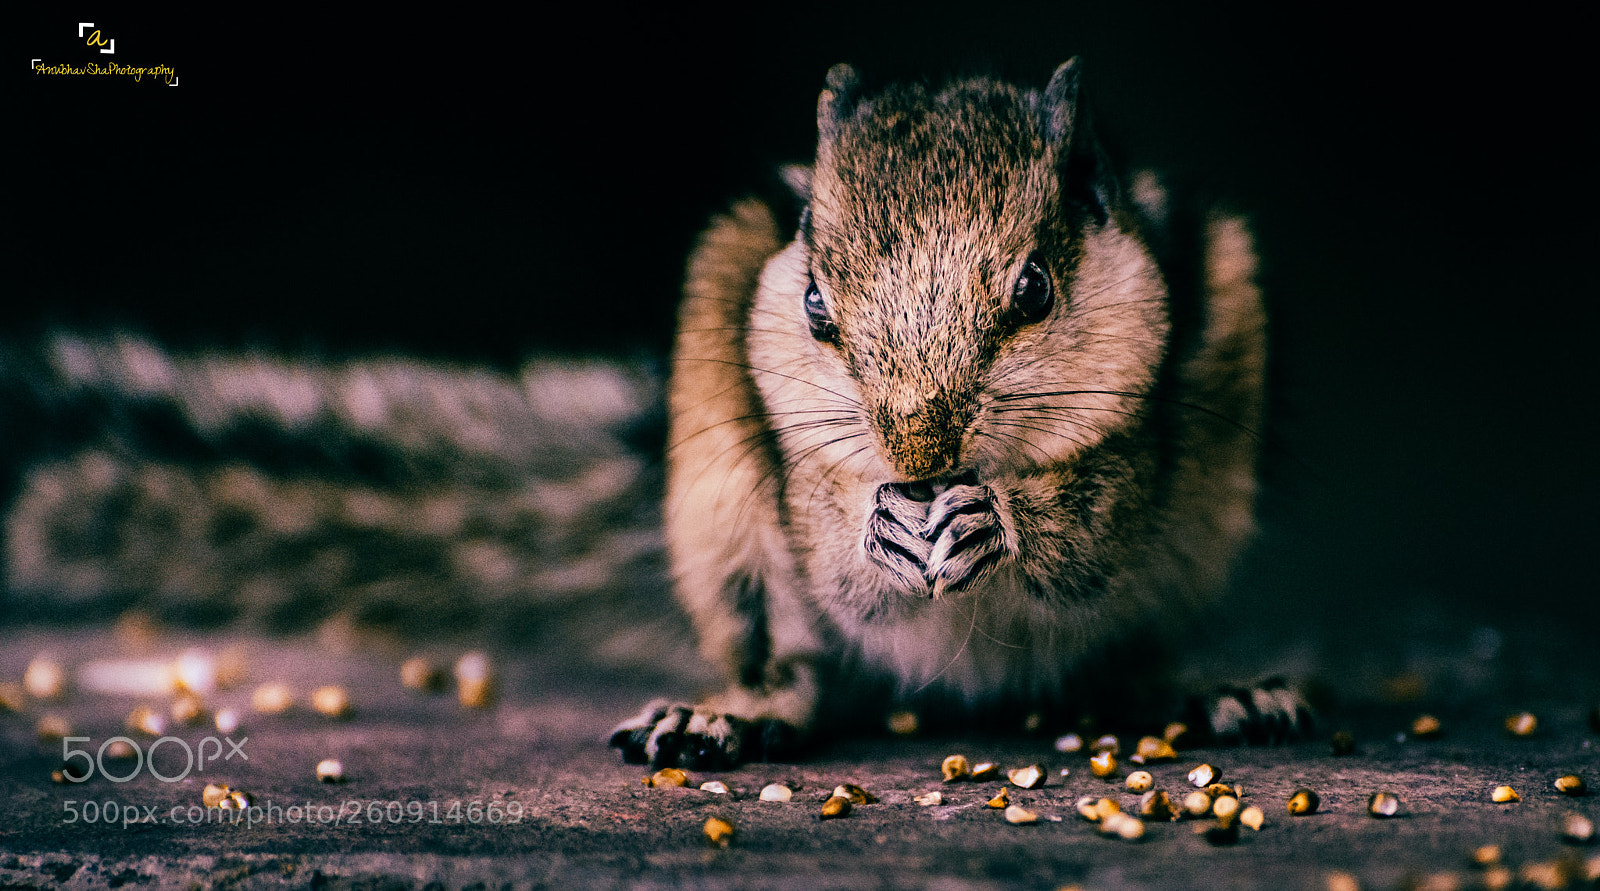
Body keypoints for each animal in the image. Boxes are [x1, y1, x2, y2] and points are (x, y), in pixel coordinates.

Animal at [610, 60, 1306, 769]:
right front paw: (879, 523)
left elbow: (1090, 539)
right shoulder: (801, 477)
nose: (919, 453)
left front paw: (994, 517)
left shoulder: (1134, 453)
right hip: (727, 546)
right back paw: (722, 715)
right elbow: (834, 565)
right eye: (814, 303)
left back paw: (1219, 694)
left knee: (1135, 665)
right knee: (798, 675)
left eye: (1035, 288)